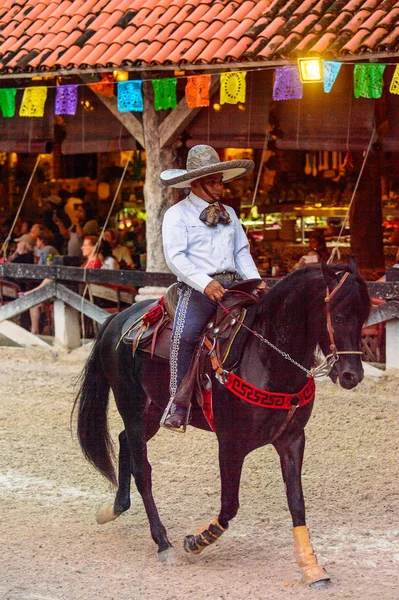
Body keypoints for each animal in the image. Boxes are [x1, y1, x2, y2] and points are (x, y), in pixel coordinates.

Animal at [73, 262, 370, 584]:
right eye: (338, 316)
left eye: (364, 316)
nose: (352, 375)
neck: (265, 356)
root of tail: (118, 318)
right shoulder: (230, 443)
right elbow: (230, 505)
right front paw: (197, 540)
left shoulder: (292, 439)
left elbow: (296, 501)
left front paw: (311, 566)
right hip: (132, 406)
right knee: (143, 470)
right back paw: (163, 543)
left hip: (152, 411)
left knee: (125, 440)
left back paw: (114, 508)